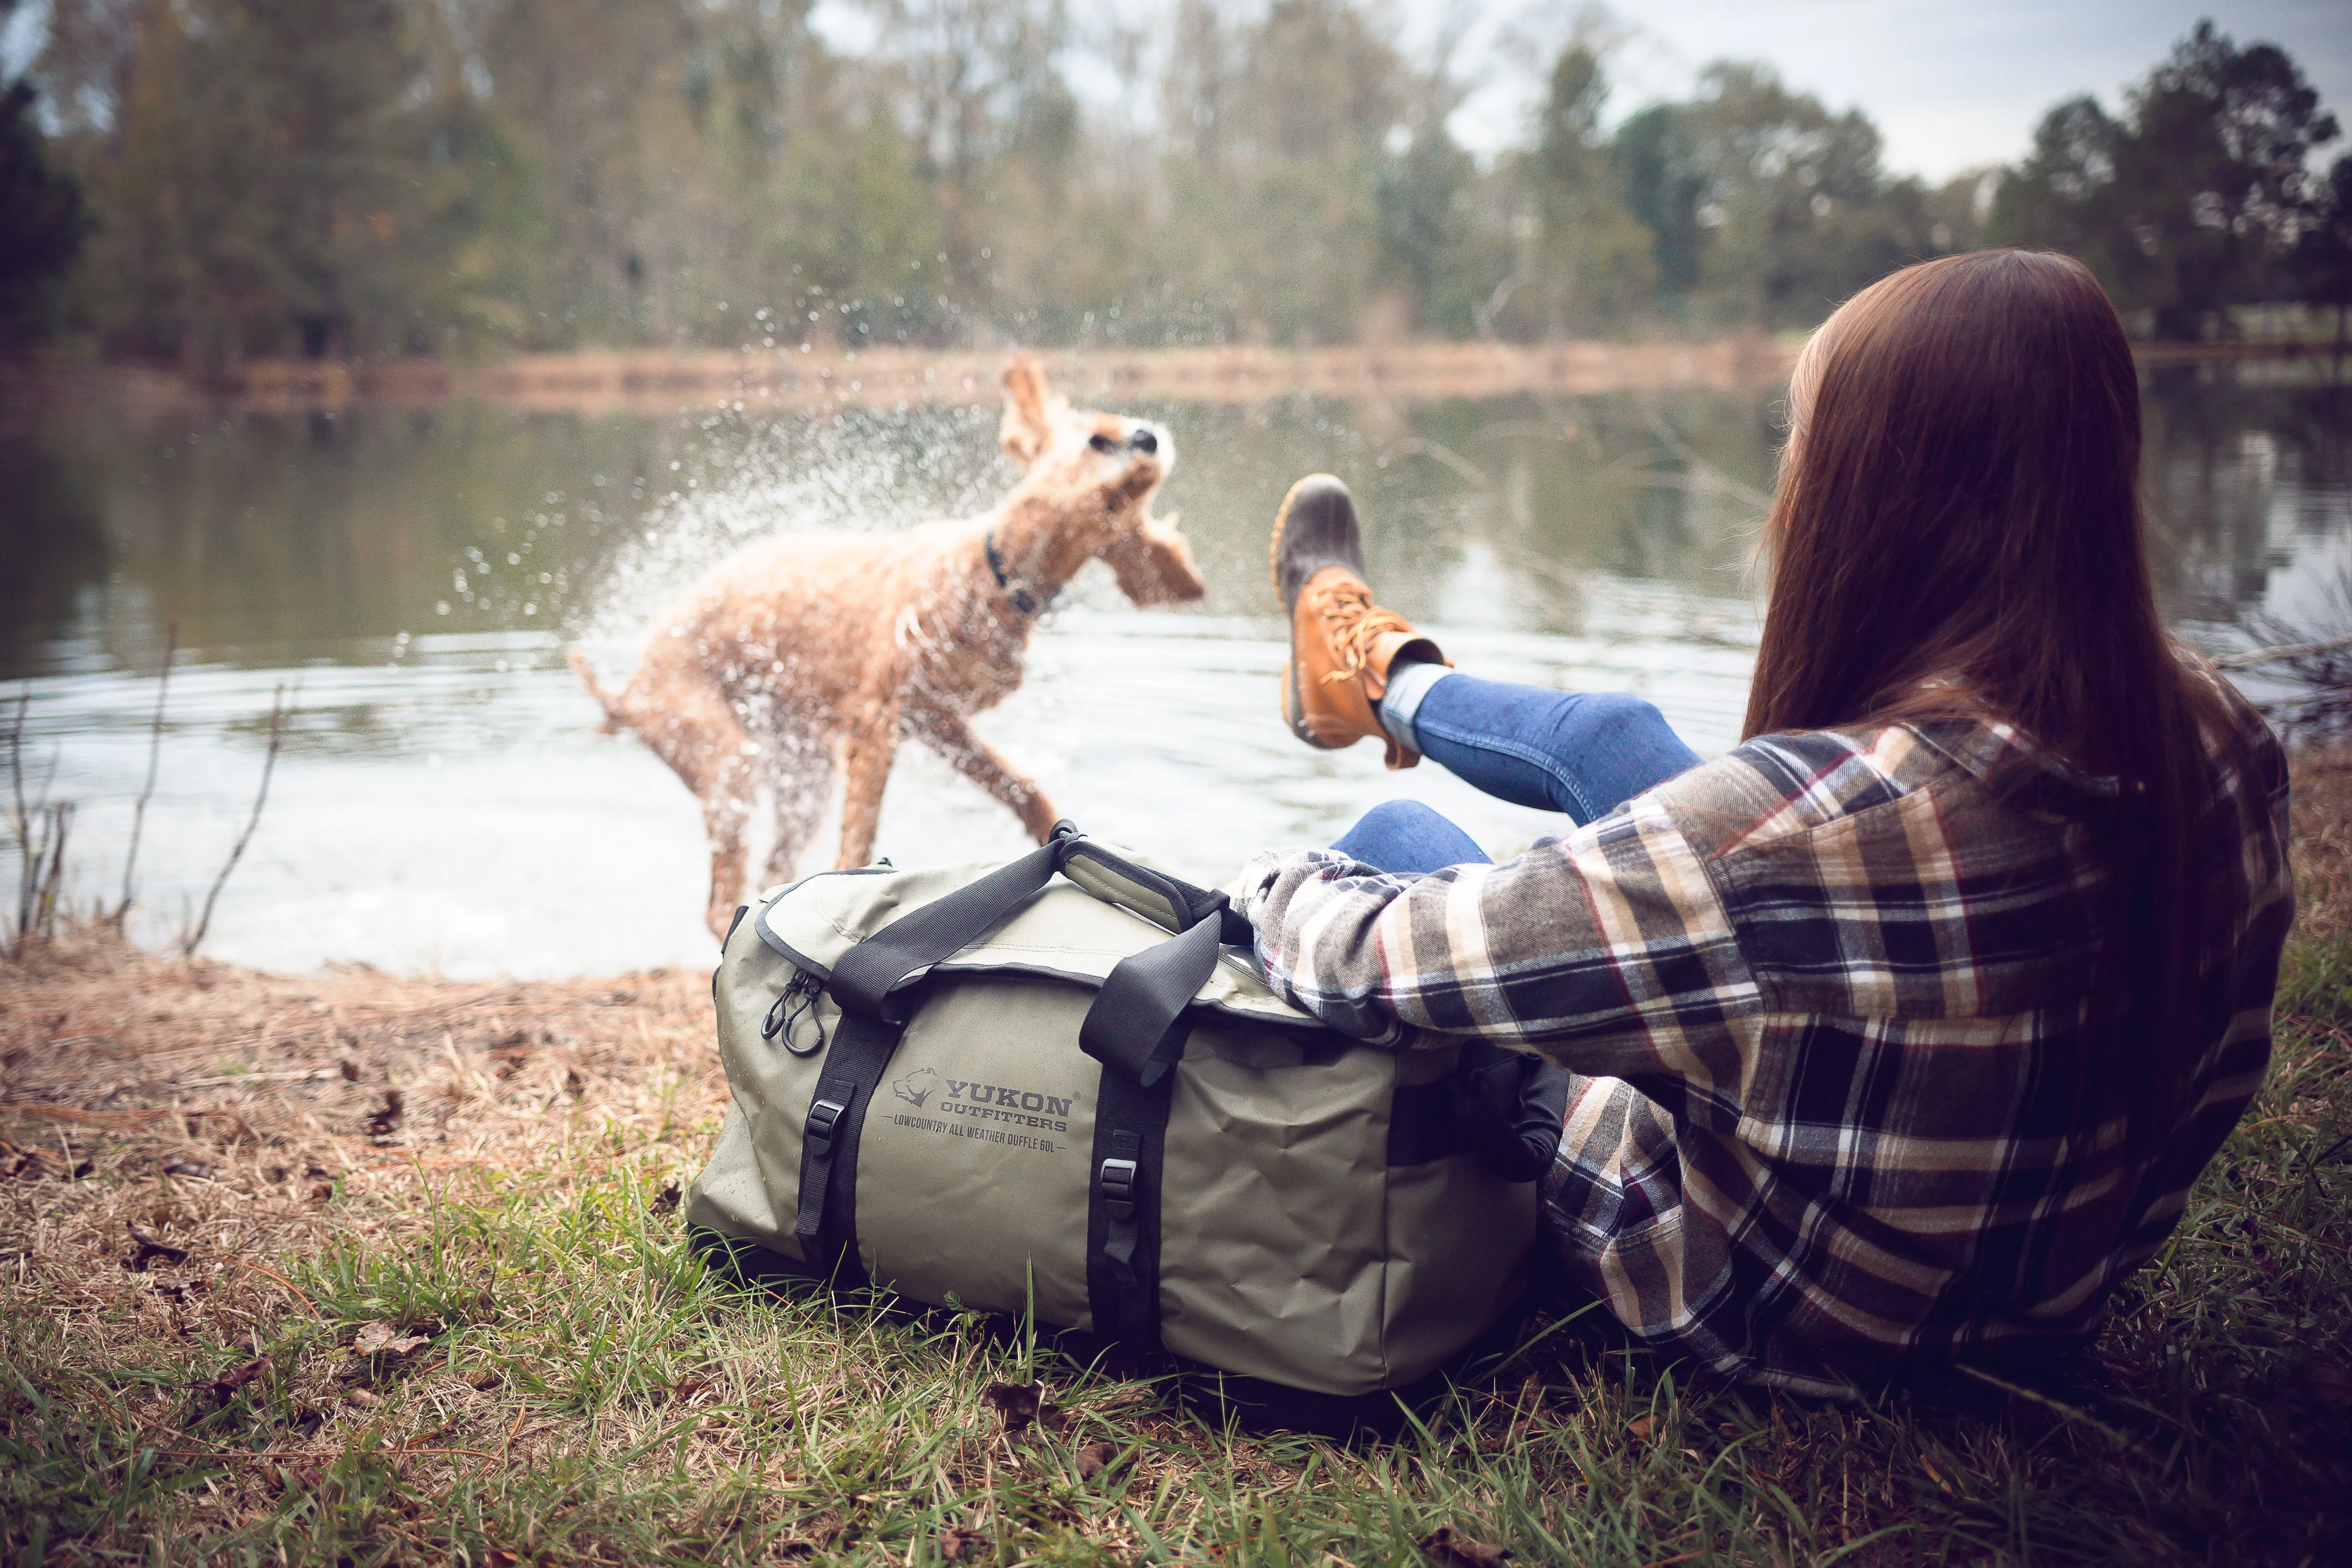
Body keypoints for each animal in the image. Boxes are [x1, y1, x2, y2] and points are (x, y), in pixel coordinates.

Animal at [566, 362, 1194, 940]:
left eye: (1133, 501)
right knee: (721, 904)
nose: (1149, 438)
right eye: (1097, 440)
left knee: (770, 872)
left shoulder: (938, 718)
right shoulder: (878, 722)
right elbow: (859, 843)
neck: (992, 576)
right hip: (729, 762)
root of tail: (625, 695)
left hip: (805, 776)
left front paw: (1055, 831)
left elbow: (1022, 786)